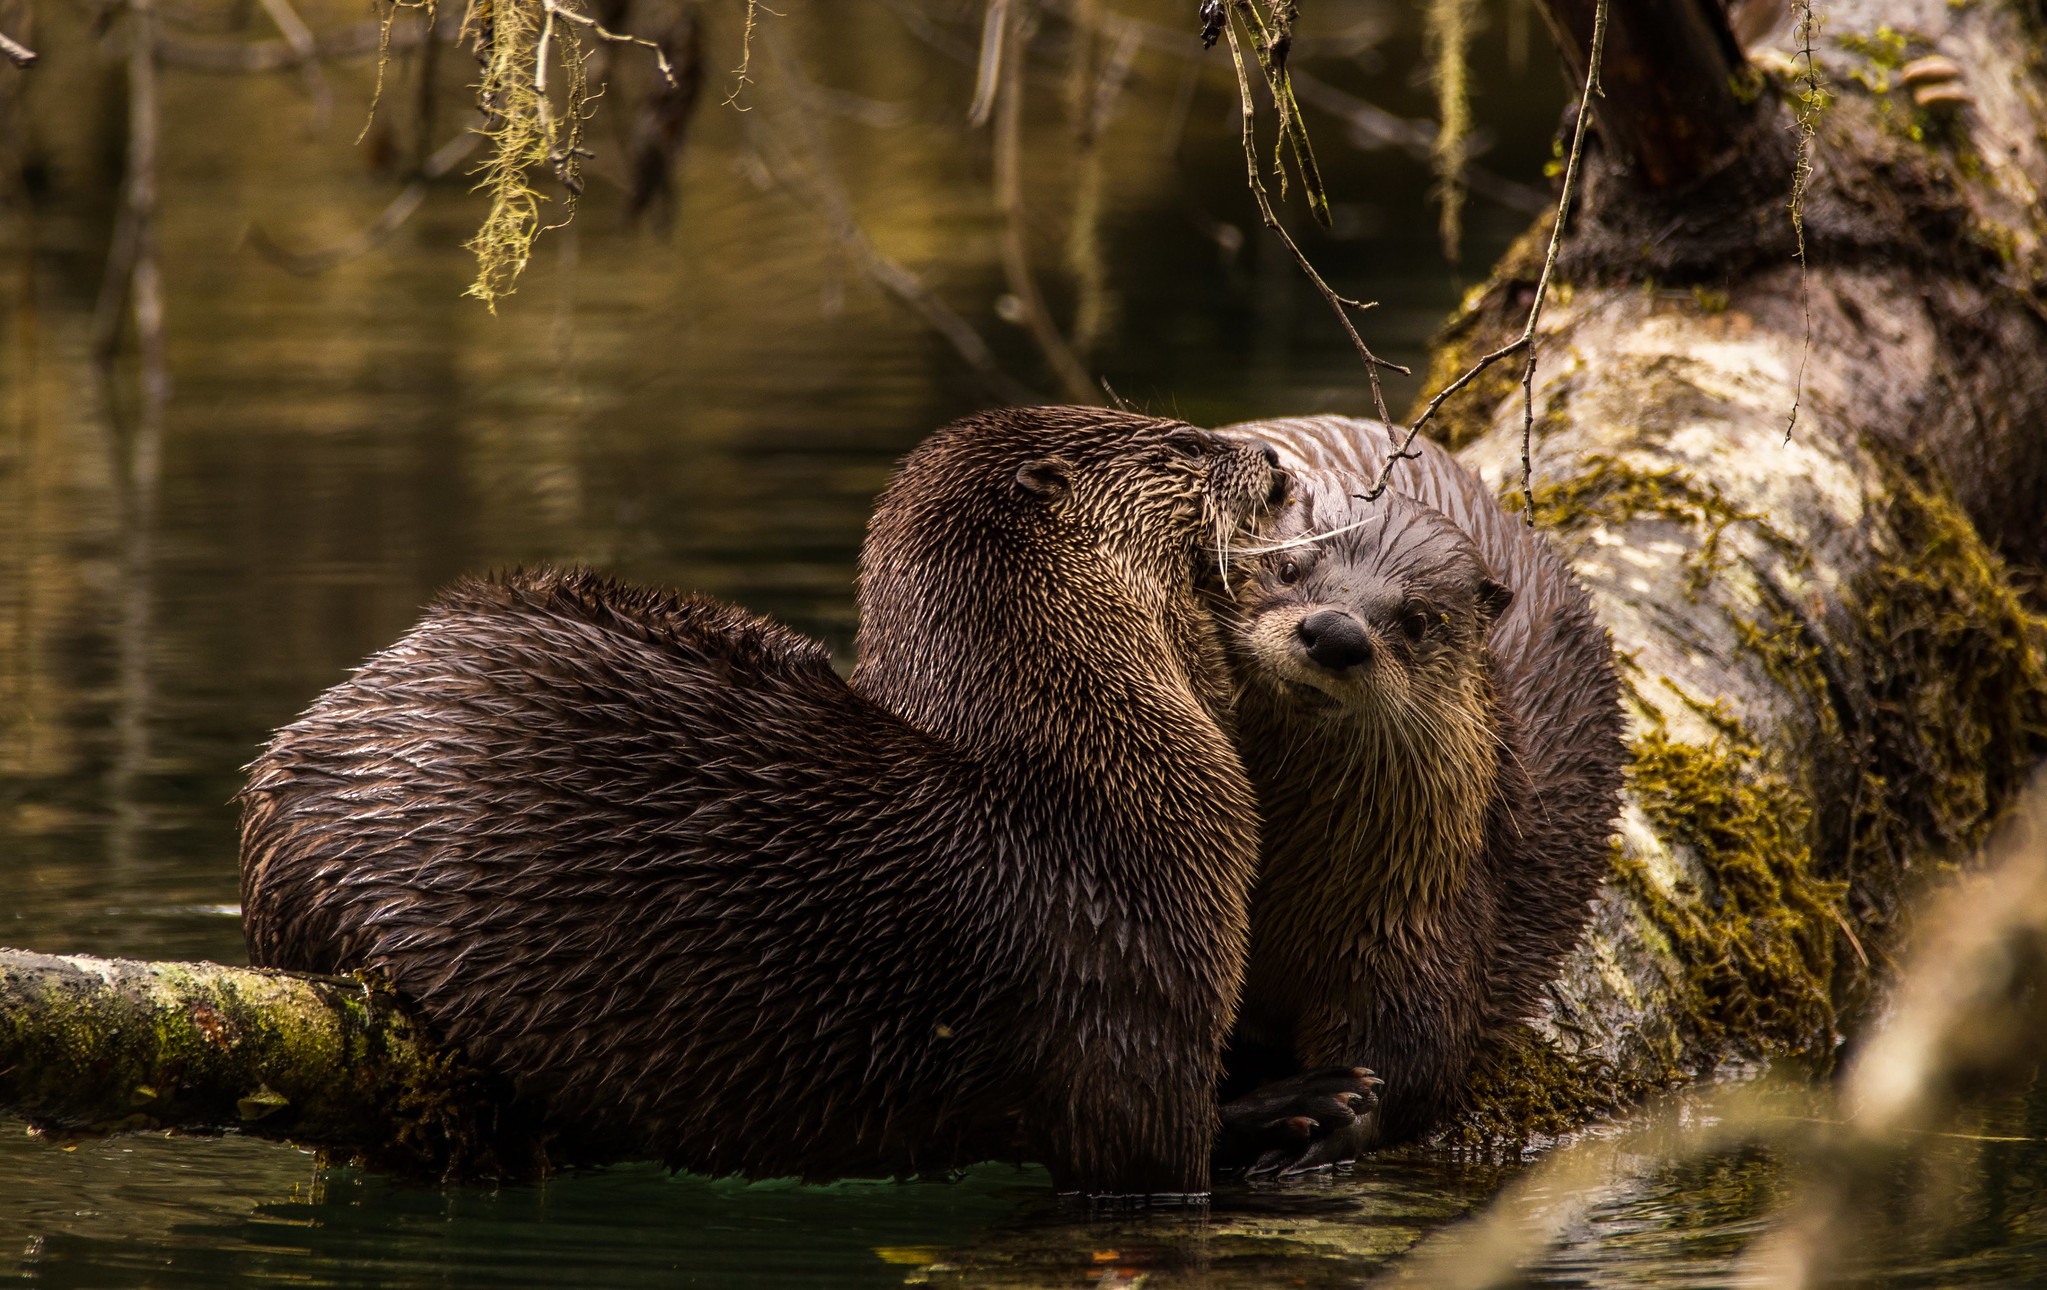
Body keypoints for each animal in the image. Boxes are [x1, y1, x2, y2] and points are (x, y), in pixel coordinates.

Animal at [1218, 417, 1624, 1155]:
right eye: (1289, 567)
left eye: (1416, 620)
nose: (1335, 633)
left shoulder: (1416, 912)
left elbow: (1415, 1053)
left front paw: (1337, 1119)